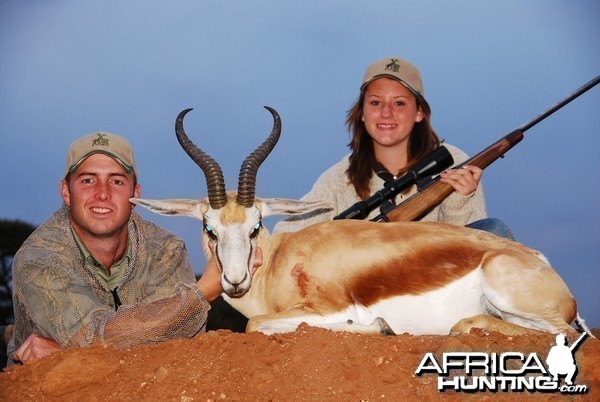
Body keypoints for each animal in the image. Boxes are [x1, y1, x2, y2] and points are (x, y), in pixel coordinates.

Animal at [132, 106, 592, 336]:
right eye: (209, 228)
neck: (278, 265)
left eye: (256, 226)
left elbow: (258, 326)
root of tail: (544, 264)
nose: (233, 281)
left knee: (563, 335)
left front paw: (379, 325)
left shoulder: (322, 308)